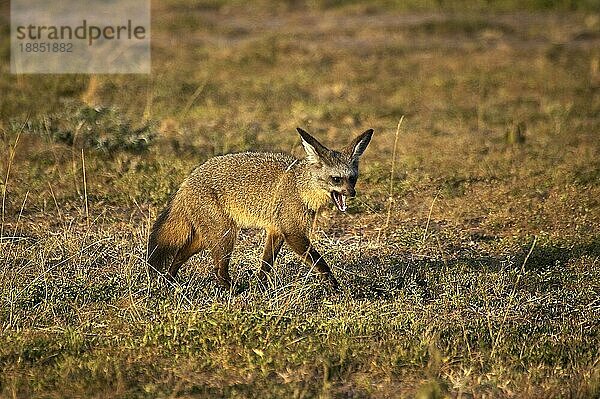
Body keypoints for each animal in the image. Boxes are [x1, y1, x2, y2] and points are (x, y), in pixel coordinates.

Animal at [146, 128, 370, 290]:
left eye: (352, 179)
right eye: (336, 179)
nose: (352, 193)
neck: (300, 186)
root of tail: (186, 181)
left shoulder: (276, 231)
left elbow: (266, 266)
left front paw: (261, 287)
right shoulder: (293, 233)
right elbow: (320, 263)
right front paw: (335, 286)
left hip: (206, 238)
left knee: (179, 256)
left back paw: (170, 282)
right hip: (225, 236)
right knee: (218, 271)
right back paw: (234, 290)